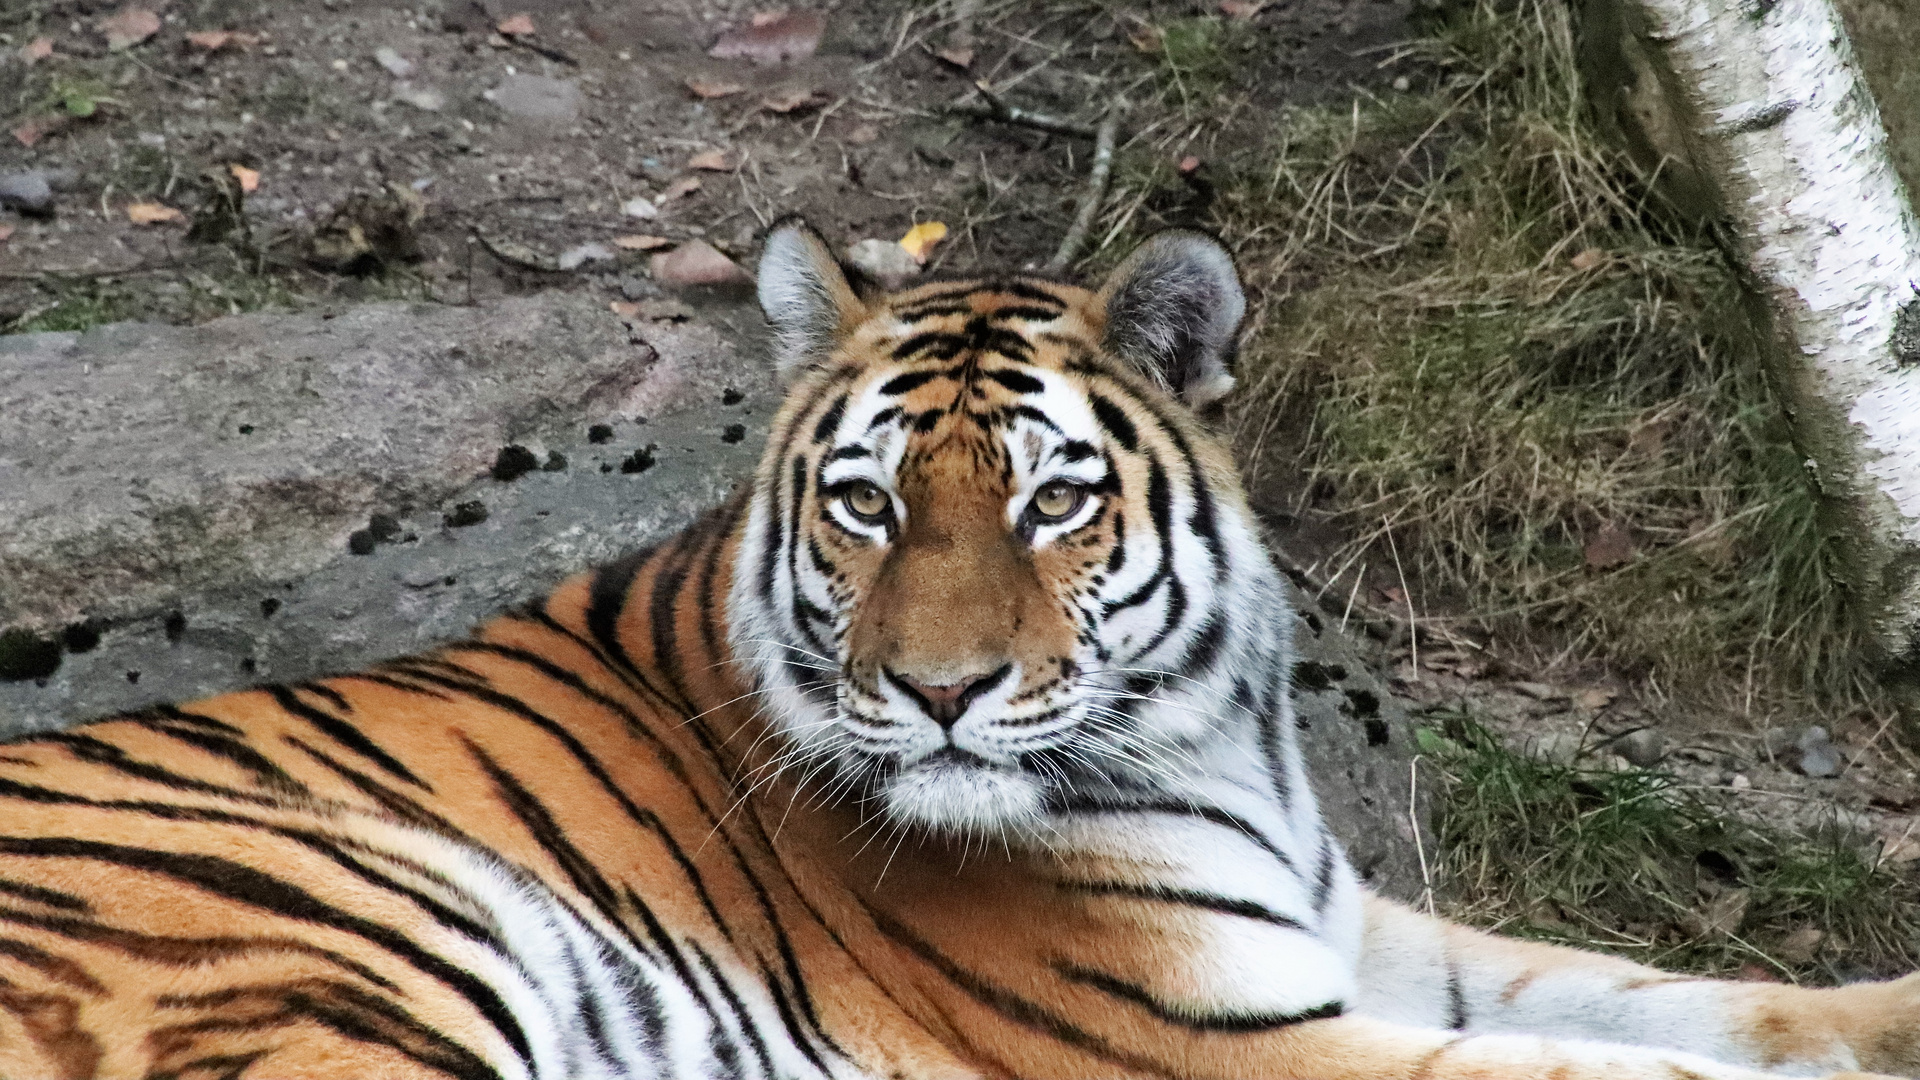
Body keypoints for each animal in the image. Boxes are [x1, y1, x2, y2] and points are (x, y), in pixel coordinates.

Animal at [3, 219, 1920, 1076]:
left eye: (1052, 502)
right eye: (864, 505)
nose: (937, 696)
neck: (1217, 743)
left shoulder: (1352, 930)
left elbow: (1684, 998)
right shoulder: (1215, 1036)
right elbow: (1624, 1068)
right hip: (337, 944)